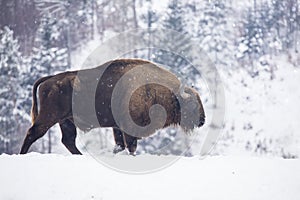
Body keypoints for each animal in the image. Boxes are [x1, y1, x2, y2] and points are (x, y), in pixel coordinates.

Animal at [19, 58, 205, 155]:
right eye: (192, 104)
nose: (202, 120)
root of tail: (50, 79)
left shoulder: (118, 128)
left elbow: (120, 145)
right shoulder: (129, 129)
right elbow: (131, 146)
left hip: (65, 121)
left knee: (68, 140)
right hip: (49, 117)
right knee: (33, 133)